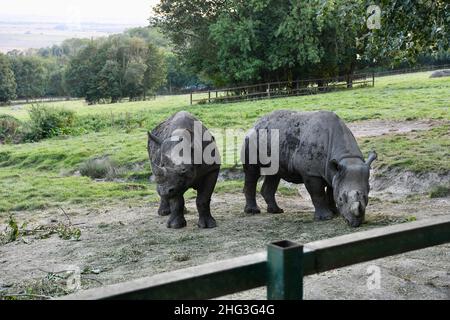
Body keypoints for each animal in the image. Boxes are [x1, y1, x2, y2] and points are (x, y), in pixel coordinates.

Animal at [243, 110, 376, 228]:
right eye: (341, 199)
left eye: (366, 197)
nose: (355, 223)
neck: (347, 157)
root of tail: (256, 123)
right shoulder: (311, 173)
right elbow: (318, 193)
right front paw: (325, 217)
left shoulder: (334, 172)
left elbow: (331, 191)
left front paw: (335, 213)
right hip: (251, 140)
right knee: (252, 173)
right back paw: (253, 211)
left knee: (274, 175)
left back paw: (276, 211)